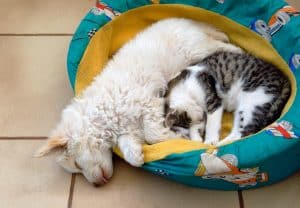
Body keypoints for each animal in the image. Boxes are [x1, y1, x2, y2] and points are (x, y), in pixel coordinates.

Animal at [35, 18, 241, 186]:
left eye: (77, 164)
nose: (97, 185)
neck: (100, 113)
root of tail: (184, 21)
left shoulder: (150, 102)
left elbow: (152, 134)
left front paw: (176, 138)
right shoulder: (128, 129)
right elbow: (129, 144)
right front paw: (136, 155)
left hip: (196, 48)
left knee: (220, 45)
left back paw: (236, 48)